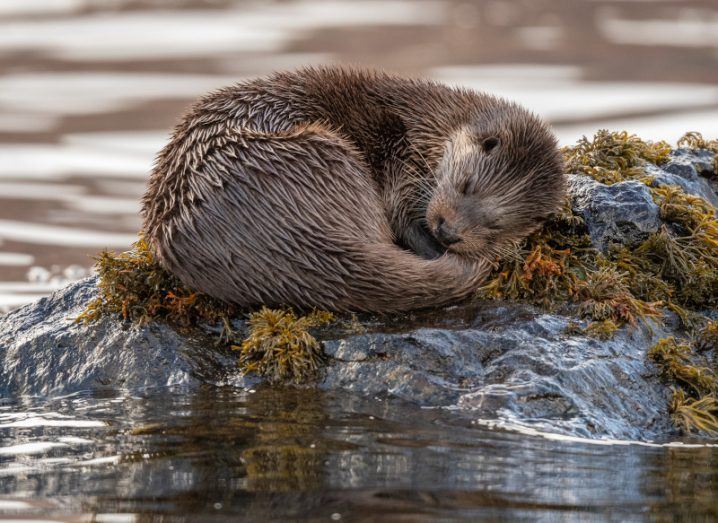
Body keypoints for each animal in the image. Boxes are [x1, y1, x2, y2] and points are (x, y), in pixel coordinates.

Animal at [142, 65, 568, 312]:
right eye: (466, 185)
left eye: (495, 225)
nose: (448, 231)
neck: (428, 125)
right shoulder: (401, 155)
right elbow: (402, 212)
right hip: (327, 153)